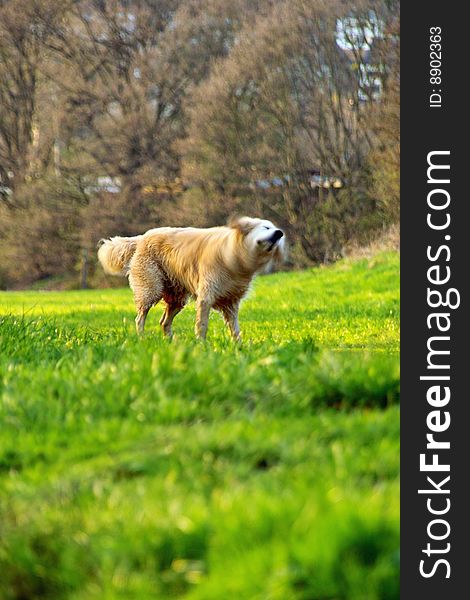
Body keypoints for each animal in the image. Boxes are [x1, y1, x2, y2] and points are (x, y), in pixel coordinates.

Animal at [97, 217, 284, 340]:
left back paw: (170, 342)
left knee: (164, 322)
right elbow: (202, 324)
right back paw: (142, 339)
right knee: (140, 318)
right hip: (151, 289)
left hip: (177, 298)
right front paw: (201, 346)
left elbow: (235, 328)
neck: (235, 256)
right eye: (266, 228)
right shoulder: (206, 296)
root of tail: (142, 237)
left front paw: (238, 346)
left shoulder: (231, 303)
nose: (280, 233)